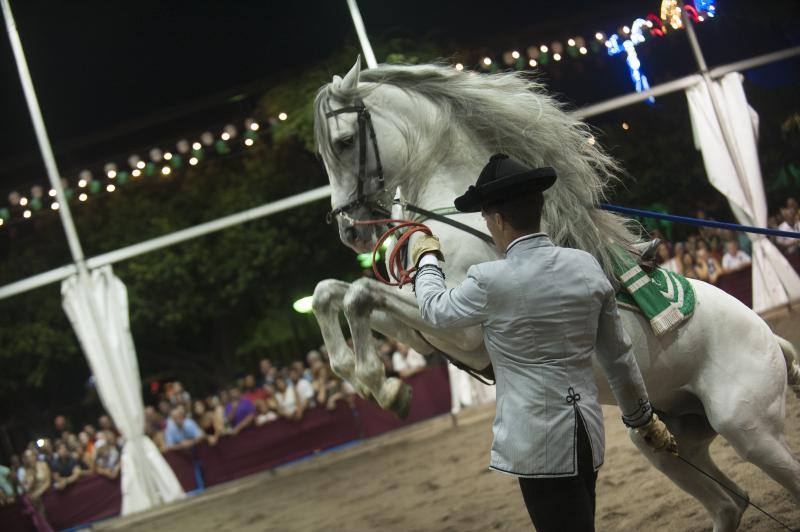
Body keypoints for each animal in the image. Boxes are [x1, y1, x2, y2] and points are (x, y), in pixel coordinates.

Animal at [310, 59, 800, 532]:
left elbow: (357, 295)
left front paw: (378, 383)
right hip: (665, 439)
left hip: (749, 432)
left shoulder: (462, 330)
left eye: (345, 141)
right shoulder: (427, 335)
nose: (349, 231)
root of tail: (771, 338)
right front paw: (371, 379)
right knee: (731, 504)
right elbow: (331, 293)